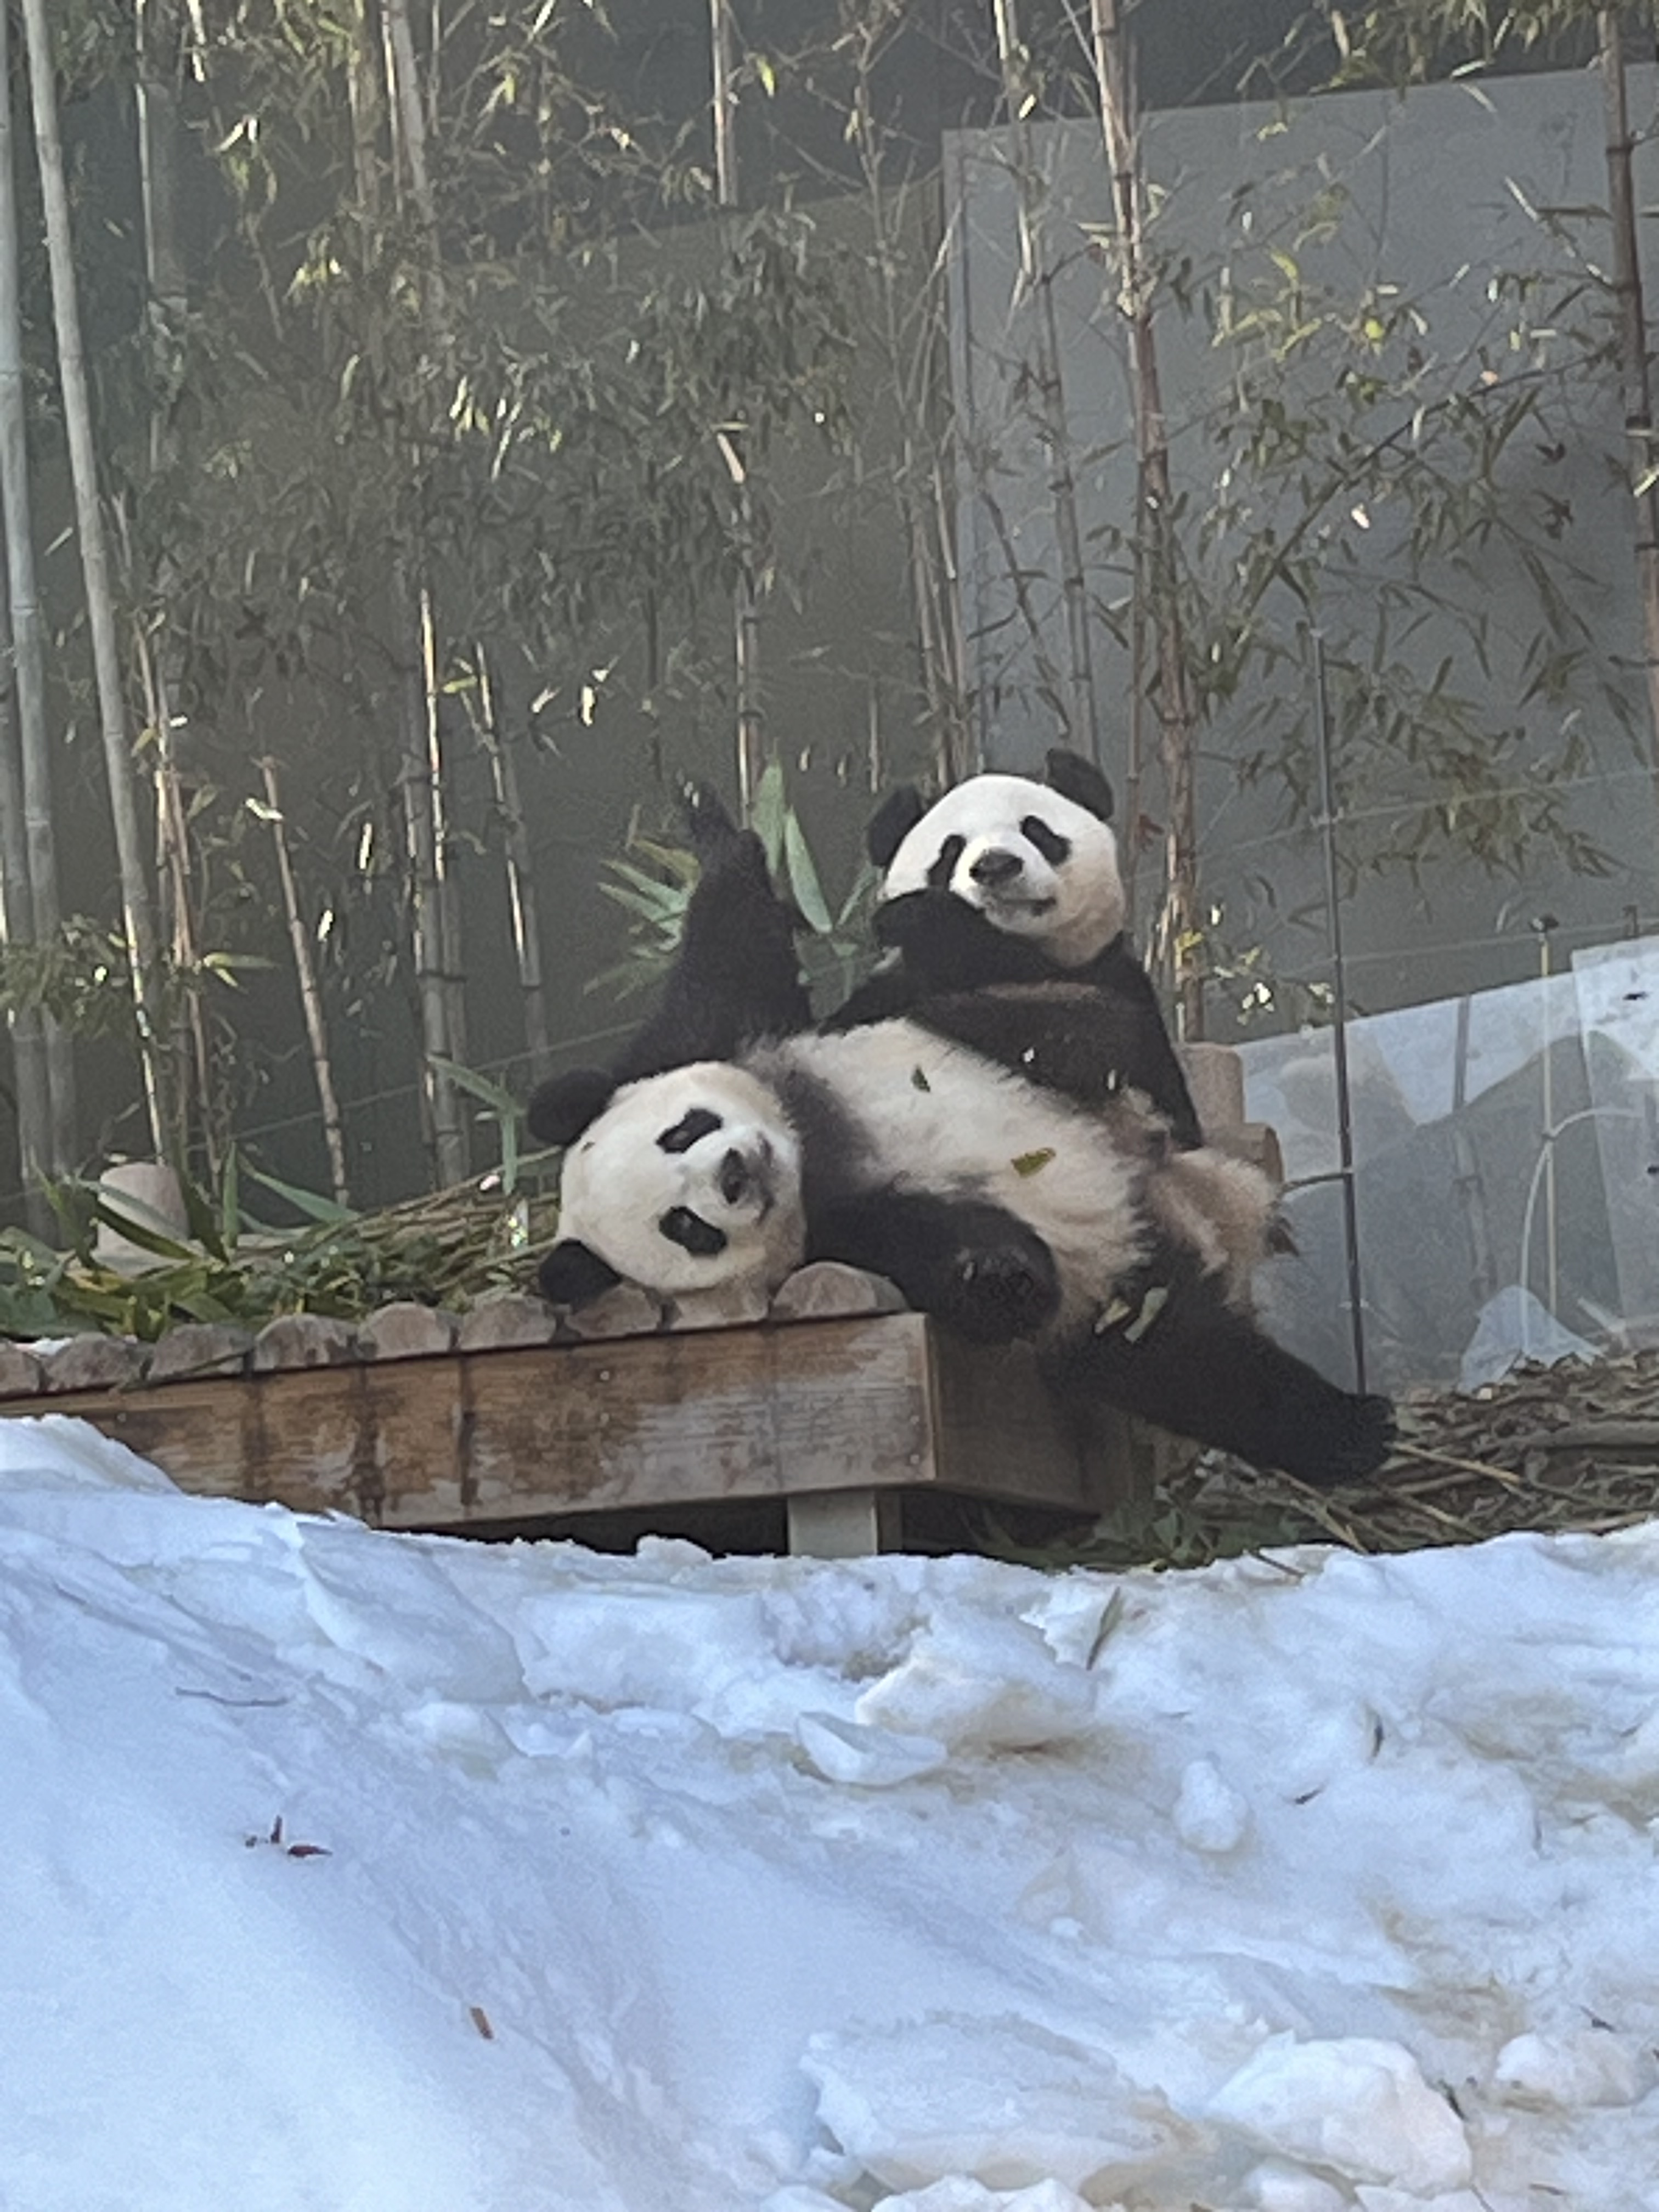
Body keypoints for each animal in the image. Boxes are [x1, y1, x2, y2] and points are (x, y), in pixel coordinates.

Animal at [535, 800, 1407, 1486]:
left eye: (685, 1130)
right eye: (687, 1226)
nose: (737, 1170)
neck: (810, 1144)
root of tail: (1178, 1216)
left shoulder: (731, 1039)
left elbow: (728, 959)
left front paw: (715, 835)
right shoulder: (842, 1236)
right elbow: (952, 1264)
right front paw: (994, 1270)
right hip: (1117, 1303)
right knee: (1198, 1367)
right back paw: (1351, 1432)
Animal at [832, 752, 1212, 1150]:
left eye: (1036, 830)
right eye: (950, 850)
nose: (995, 865)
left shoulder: (1114, 982)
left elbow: (1089, 1037)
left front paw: (924, 920)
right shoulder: (883, 993)